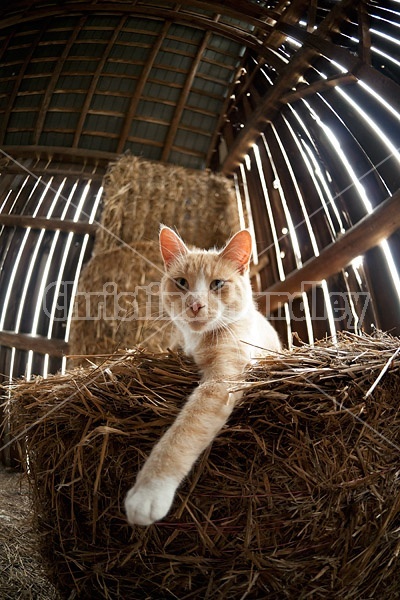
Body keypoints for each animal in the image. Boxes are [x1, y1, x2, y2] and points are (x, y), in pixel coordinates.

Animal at [123, 225, 280, 524]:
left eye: (217, 284)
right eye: (182, 283)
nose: (195, 305)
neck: (199, 339)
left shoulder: (221, 381)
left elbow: (182, 433)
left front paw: (149, 491)